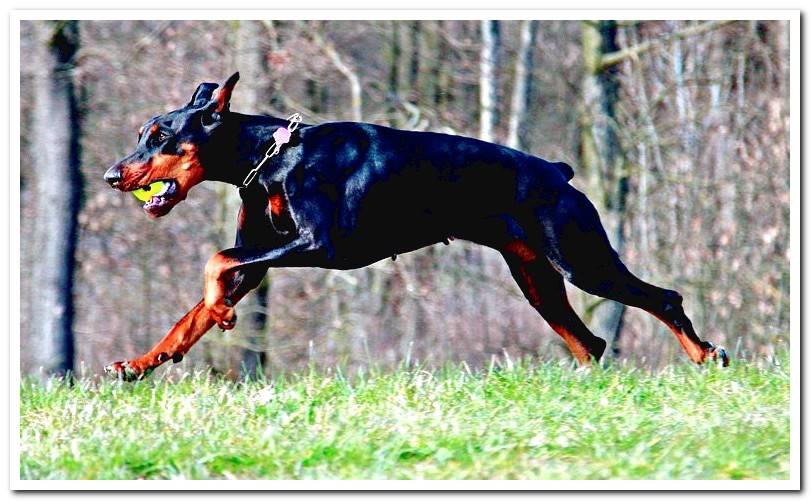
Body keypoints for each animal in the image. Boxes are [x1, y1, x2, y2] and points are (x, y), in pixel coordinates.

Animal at [101, 72, 728, 378]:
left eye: (161, 135)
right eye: (141, 133)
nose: (110, 175)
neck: (273, 157)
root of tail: (556, 171)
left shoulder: (321, 245)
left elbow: (215, 260)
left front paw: (221, 313)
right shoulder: (264, 252)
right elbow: (194, 310)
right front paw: (141, 362)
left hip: (580, 258)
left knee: (663, 298)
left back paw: (707, 357)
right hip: (537, 280)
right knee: (590, 340)